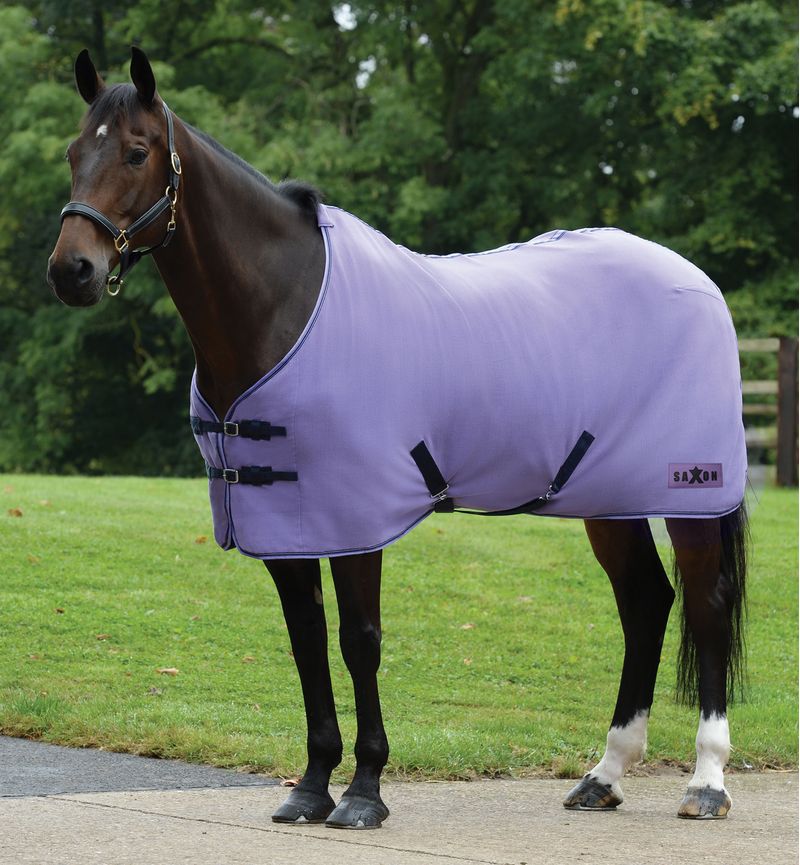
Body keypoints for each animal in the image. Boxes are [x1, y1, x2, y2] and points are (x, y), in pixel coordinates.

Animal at [47, 48, 748, 829]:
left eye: (137, 152)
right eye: (74, 152)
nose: (72, 270)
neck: (286, 307)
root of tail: (695, 280)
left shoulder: (357, 518)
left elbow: (359, 642)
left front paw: (363, 791)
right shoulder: (283, 523)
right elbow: (306, 640)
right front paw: (310, 787)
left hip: (691, 491)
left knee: (706, 605)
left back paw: (707, 781)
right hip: (609, 497)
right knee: (646, 603)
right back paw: (606, 774)